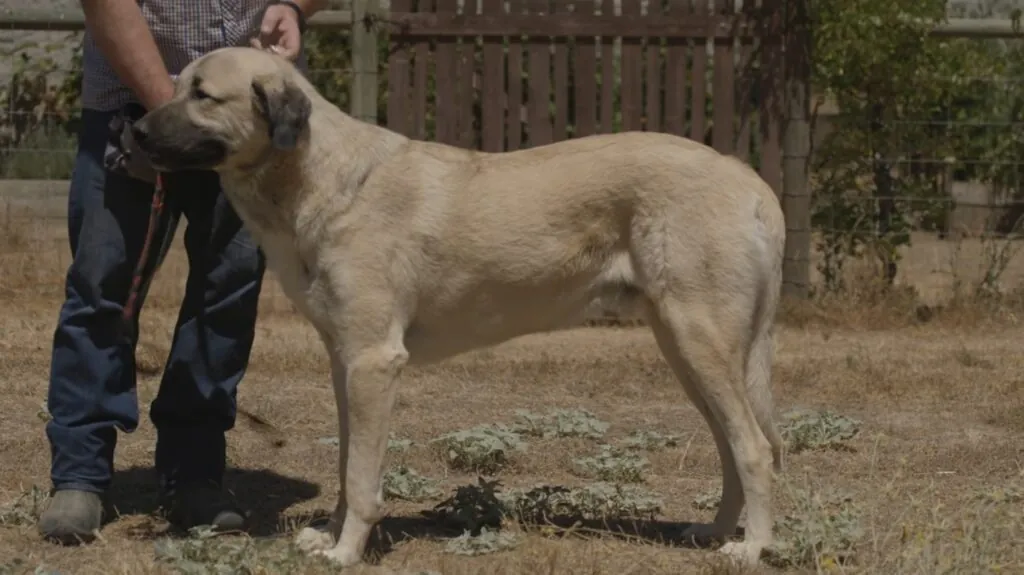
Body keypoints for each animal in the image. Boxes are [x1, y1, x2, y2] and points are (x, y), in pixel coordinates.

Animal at [134, 47, 782, 564]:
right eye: (174, 85)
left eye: (202, 95)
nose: (134, 133)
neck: (323, 177)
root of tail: (748, 178)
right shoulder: (346, 363)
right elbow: (347, 464)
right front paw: (331, 534)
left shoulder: (374, 361)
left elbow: (361, 475)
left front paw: (347, 552)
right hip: (686, 350)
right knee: (732, 446)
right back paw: (716, 532)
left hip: (699, 341)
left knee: (755, 447)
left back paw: (752, 547)